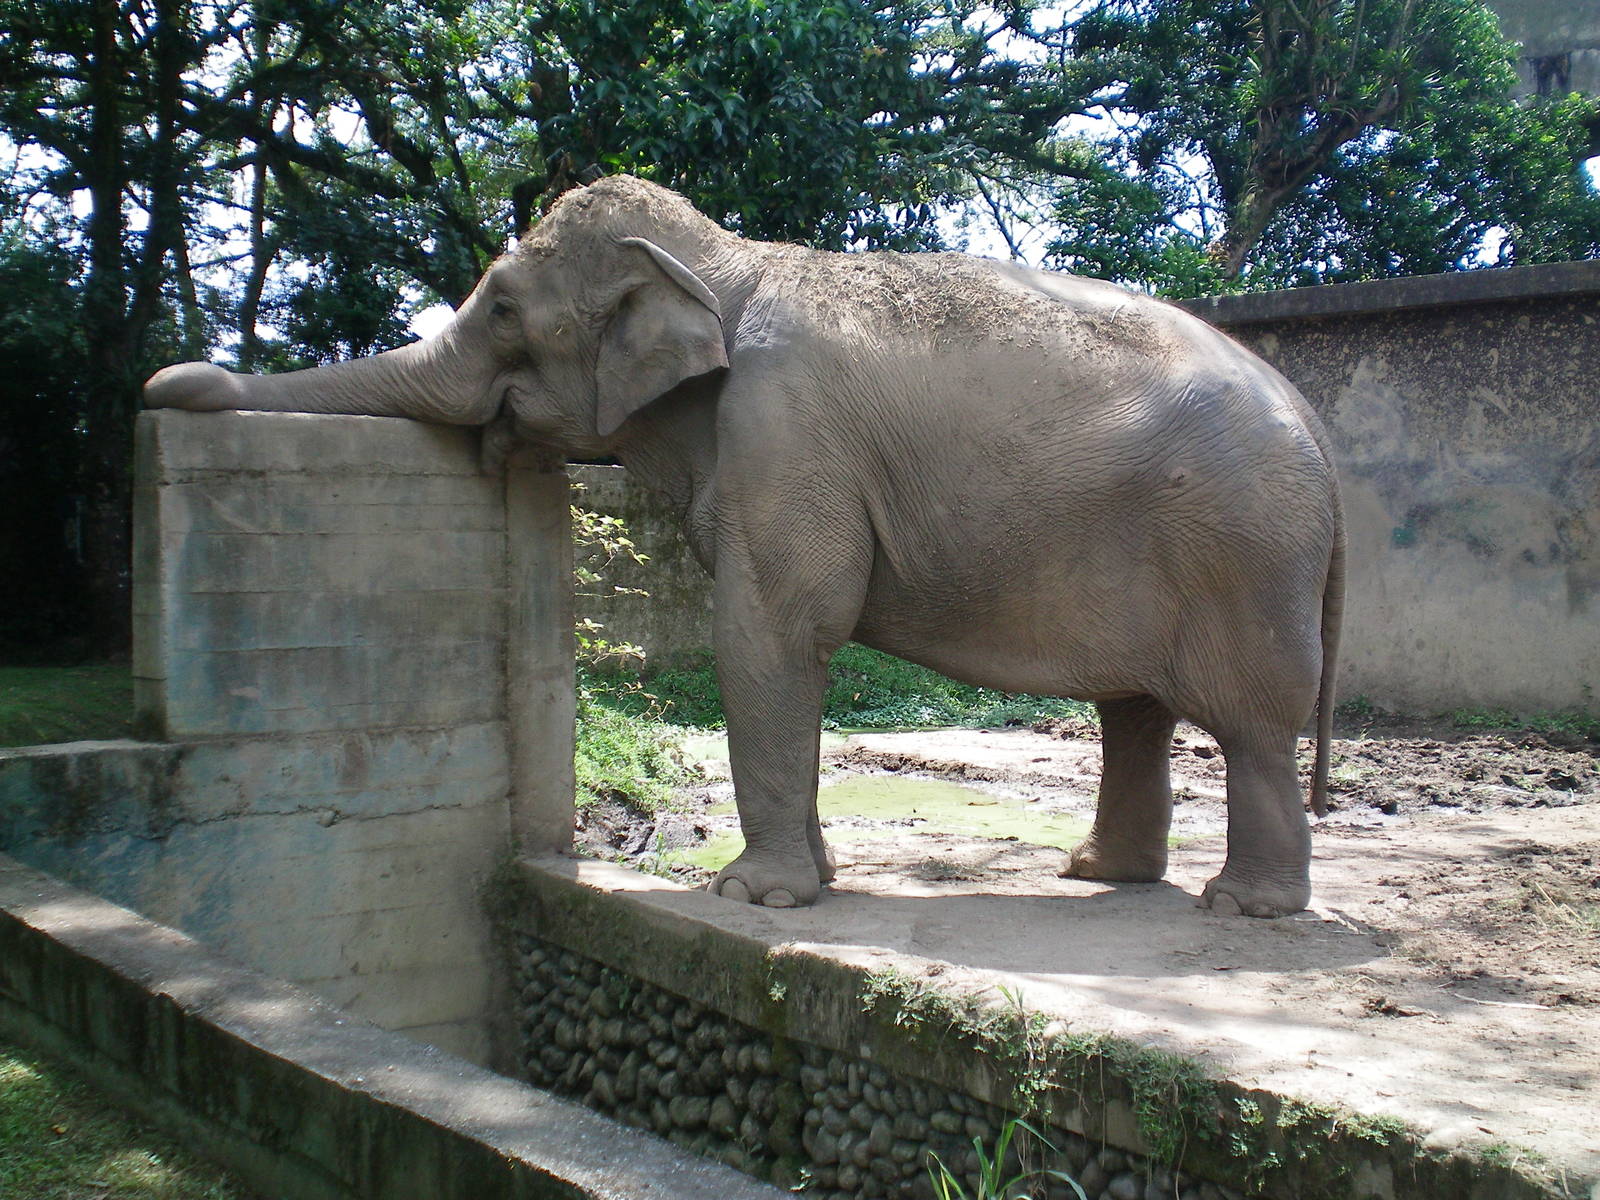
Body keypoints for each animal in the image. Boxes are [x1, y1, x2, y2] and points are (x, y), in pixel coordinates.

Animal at [146, 175, 1344, 919]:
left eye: (502, 313)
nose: (170, 383)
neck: (722, 259)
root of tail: (1314, 423)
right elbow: (785, 650)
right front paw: (807, 881)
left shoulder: (784, 432)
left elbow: (773, 633)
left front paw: (752, 898)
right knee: (1134, 709)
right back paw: (1098, 875)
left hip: (1242, 553)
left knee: (1246, 722)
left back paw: (1241, 905)